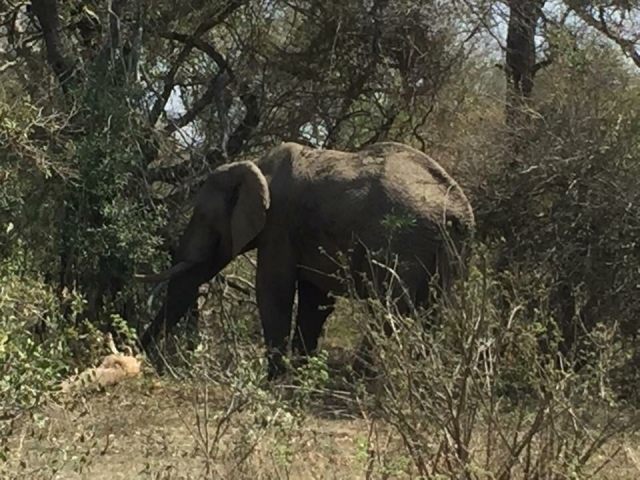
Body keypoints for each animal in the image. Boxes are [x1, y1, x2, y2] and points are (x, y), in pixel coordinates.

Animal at [136, 141, 475, 378]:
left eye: (204, 217)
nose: (138, 356)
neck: (258, 166)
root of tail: (457, 211)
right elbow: (315, 301)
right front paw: (300, 377)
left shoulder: (280, 225)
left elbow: (273, 291)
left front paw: (273, 380)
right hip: (444, 252)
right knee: (431, 312)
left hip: (400, 243)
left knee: (388, 309)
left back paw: (357, 379)